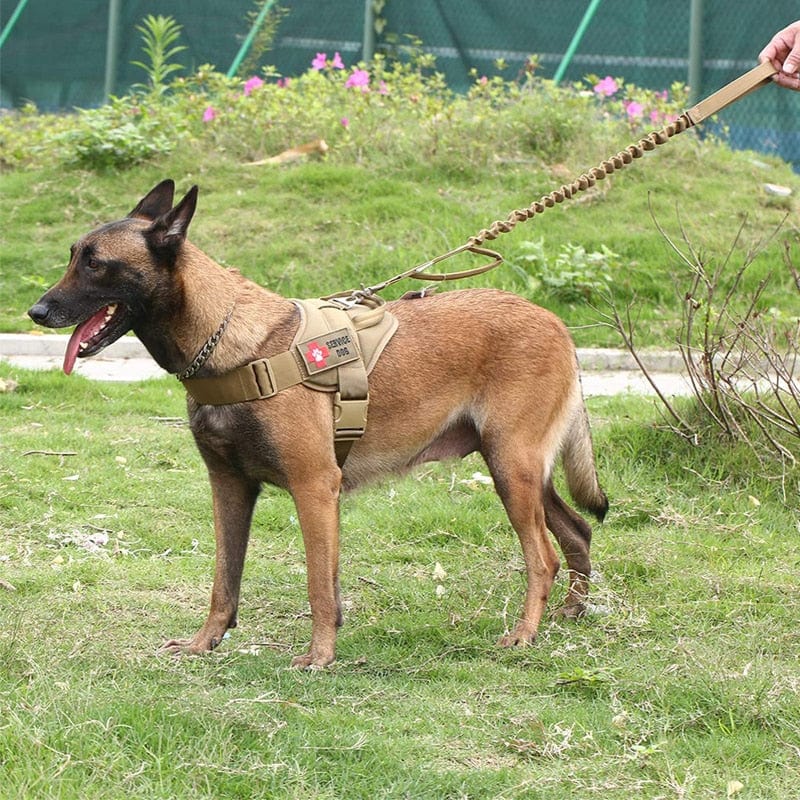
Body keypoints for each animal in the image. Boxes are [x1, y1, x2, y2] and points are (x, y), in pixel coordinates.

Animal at [28, 181, 608, 668]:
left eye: (96, 264)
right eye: (73, 257)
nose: (36, 312)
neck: (228, 341)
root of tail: (556, 323)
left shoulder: (314, 488)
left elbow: (318, 586)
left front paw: (320, 657)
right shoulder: (229, 488)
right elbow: (224, 581)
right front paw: (204, 644)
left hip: (512, 468)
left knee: (543, 557)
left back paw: (525, 634)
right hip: (518, 470)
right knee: (577, 531)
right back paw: (571, 614)